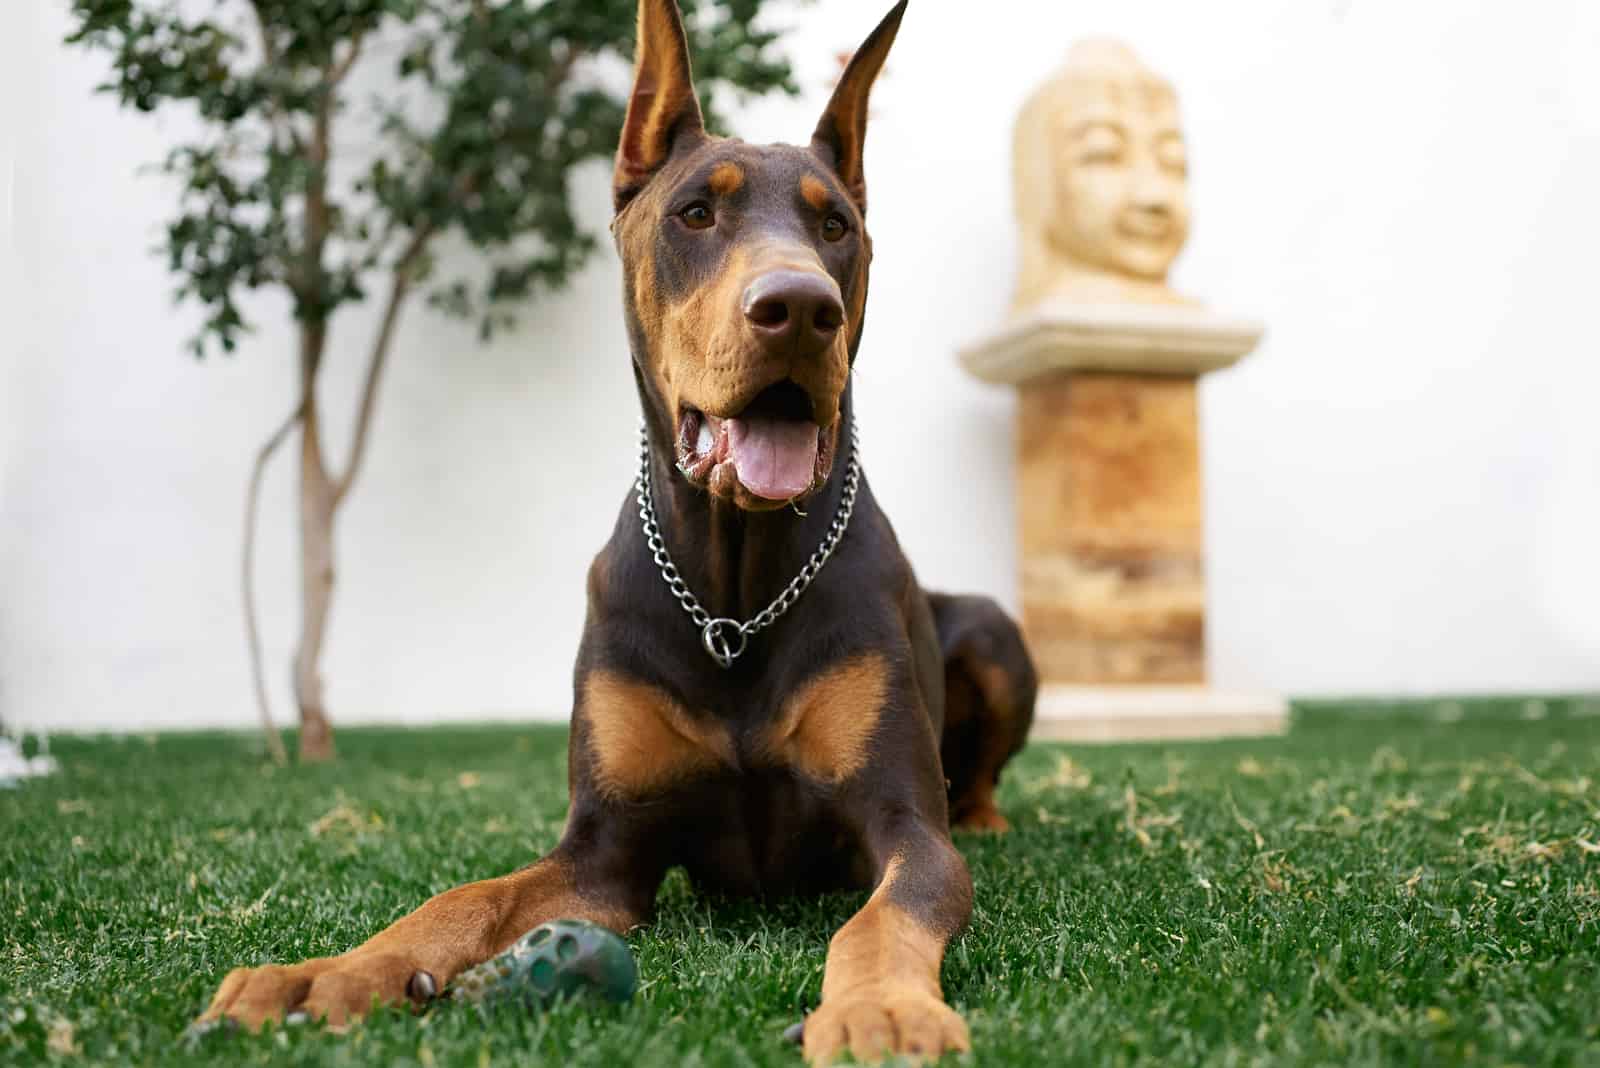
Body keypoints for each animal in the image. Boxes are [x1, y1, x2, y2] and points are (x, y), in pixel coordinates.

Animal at [200, 4, 1036, 1061]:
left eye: (834, 225)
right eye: (696, 214)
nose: (800, 307)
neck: (733, 593)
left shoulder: (901, 826)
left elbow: (886, 911)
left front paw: (882, 1007)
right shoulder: (603, 850)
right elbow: (462, 898)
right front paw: (330, 972)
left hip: (995, 634)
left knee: (976, 784)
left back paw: (991, 820)